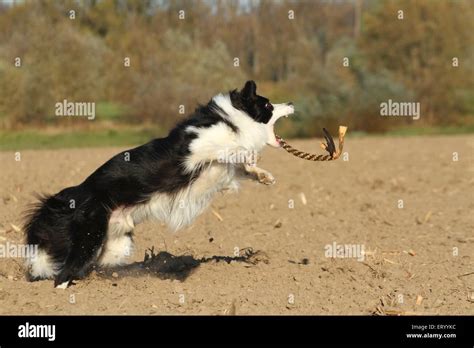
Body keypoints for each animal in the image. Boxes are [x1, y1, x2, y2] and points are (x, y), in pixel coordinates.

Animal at [25, 80, 296, 286]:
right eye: (268, 104)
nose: (292, 103)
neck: (233, 119)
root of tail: (74, 194)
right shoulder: (195, 150)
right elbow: (234, 148)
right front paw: (250, 156)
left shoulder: (220, 169)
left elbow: (238, 165)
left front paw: (262, 175)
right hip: (90, 236)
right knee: (64, 272)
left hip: (116, 245)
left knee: (93, 266)